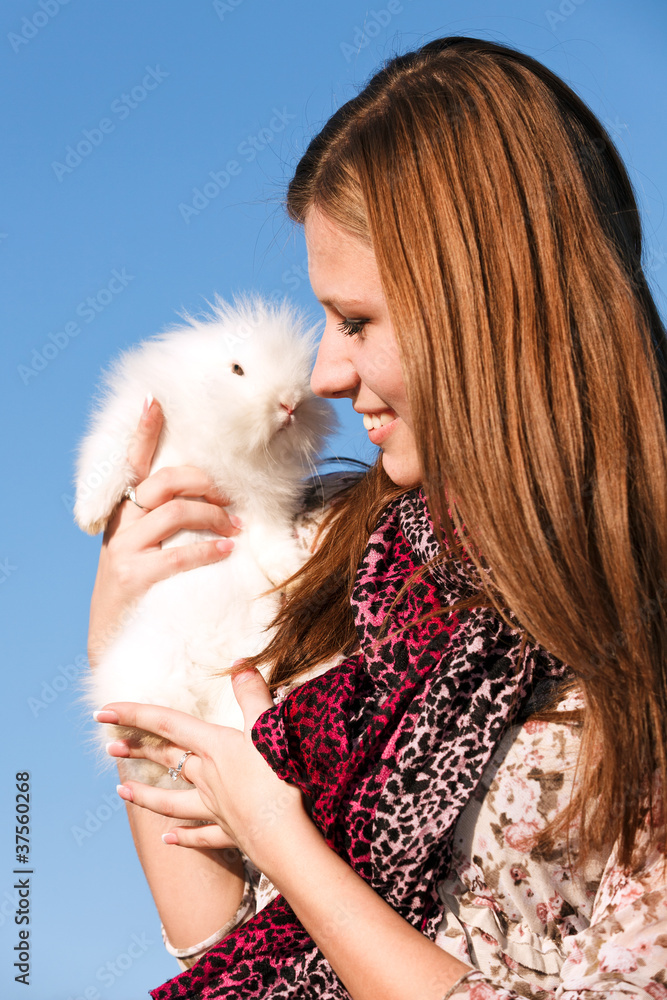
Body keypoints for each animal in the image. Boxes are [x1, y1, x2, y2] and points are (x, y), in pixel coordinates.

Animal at [74, 293, 337, 786]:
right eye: (237, 369)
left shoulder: (265, 505)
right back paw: (134, 729)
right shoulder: (135, 419)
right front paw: (89, 515)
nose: (290, 404)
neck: (223, 440)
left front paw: (293, 572)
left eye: (304, 375)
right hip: (145, 667)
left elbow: (272, 541)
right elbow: (108, 461)